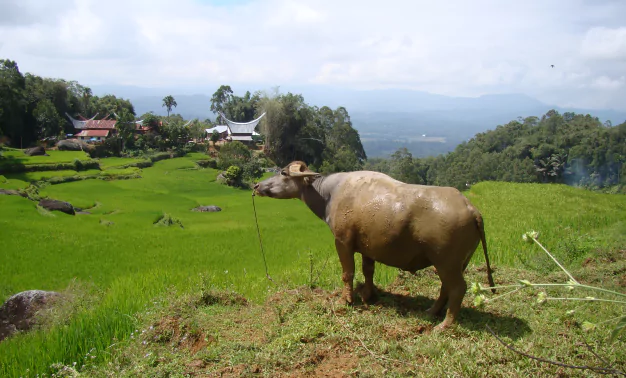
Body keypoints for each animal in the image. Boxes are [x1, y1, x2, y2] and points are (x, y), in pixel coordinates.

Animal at [252, 161, 492, 330]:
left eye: (283, 173)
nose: (257, 185)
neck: (330, 194)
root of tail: (471, 209)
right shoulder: (368, 247)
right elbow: (368, 270)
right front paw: (368, 295)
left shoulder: (343, 242)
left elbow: (348, 273)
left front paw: (347, 300)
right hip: (456, 263)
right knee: (446, 287)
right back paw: (431, 312)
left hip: (446, 261)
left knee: (458, 288)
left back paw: (444, 324)